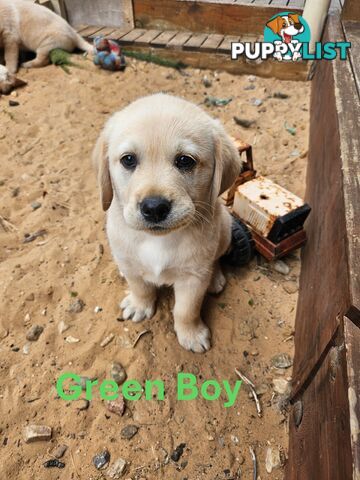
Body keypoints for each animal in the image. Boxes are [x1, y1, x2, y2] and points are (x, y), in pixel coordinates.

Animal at [93, 94, 240, 352]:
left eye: (185, 161)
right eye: (128, 160)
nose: (154, 208)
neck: (157, 241)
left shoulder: (193, 278)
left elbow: (186, 310)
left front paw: (191, 334)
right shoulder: (130, 264)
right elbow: (140, 287)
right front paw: (139, 305)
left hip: (225, 229)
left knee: (217, 258)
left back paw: (215, 278)